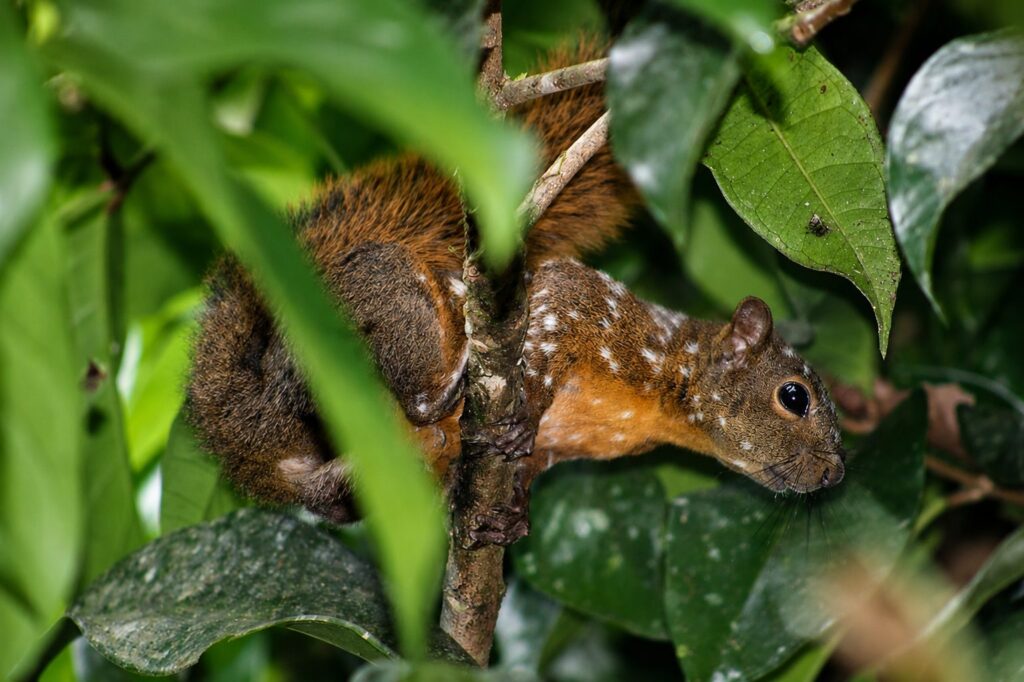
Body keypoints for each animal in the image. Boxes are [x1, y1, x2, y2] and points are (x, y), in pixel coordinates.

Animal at [186, 41, 846, 546]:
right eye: (794, 397)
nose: (836, 475)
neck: (661, 393)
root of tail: (246, 429)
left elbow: (530, 473)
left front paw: (512, 520)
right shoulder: (577, 301)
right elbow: (546, 333)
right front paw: (525, 405)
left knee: (336, 492)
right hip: (378, 305)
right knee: (408, 389)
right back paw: (448, 387)